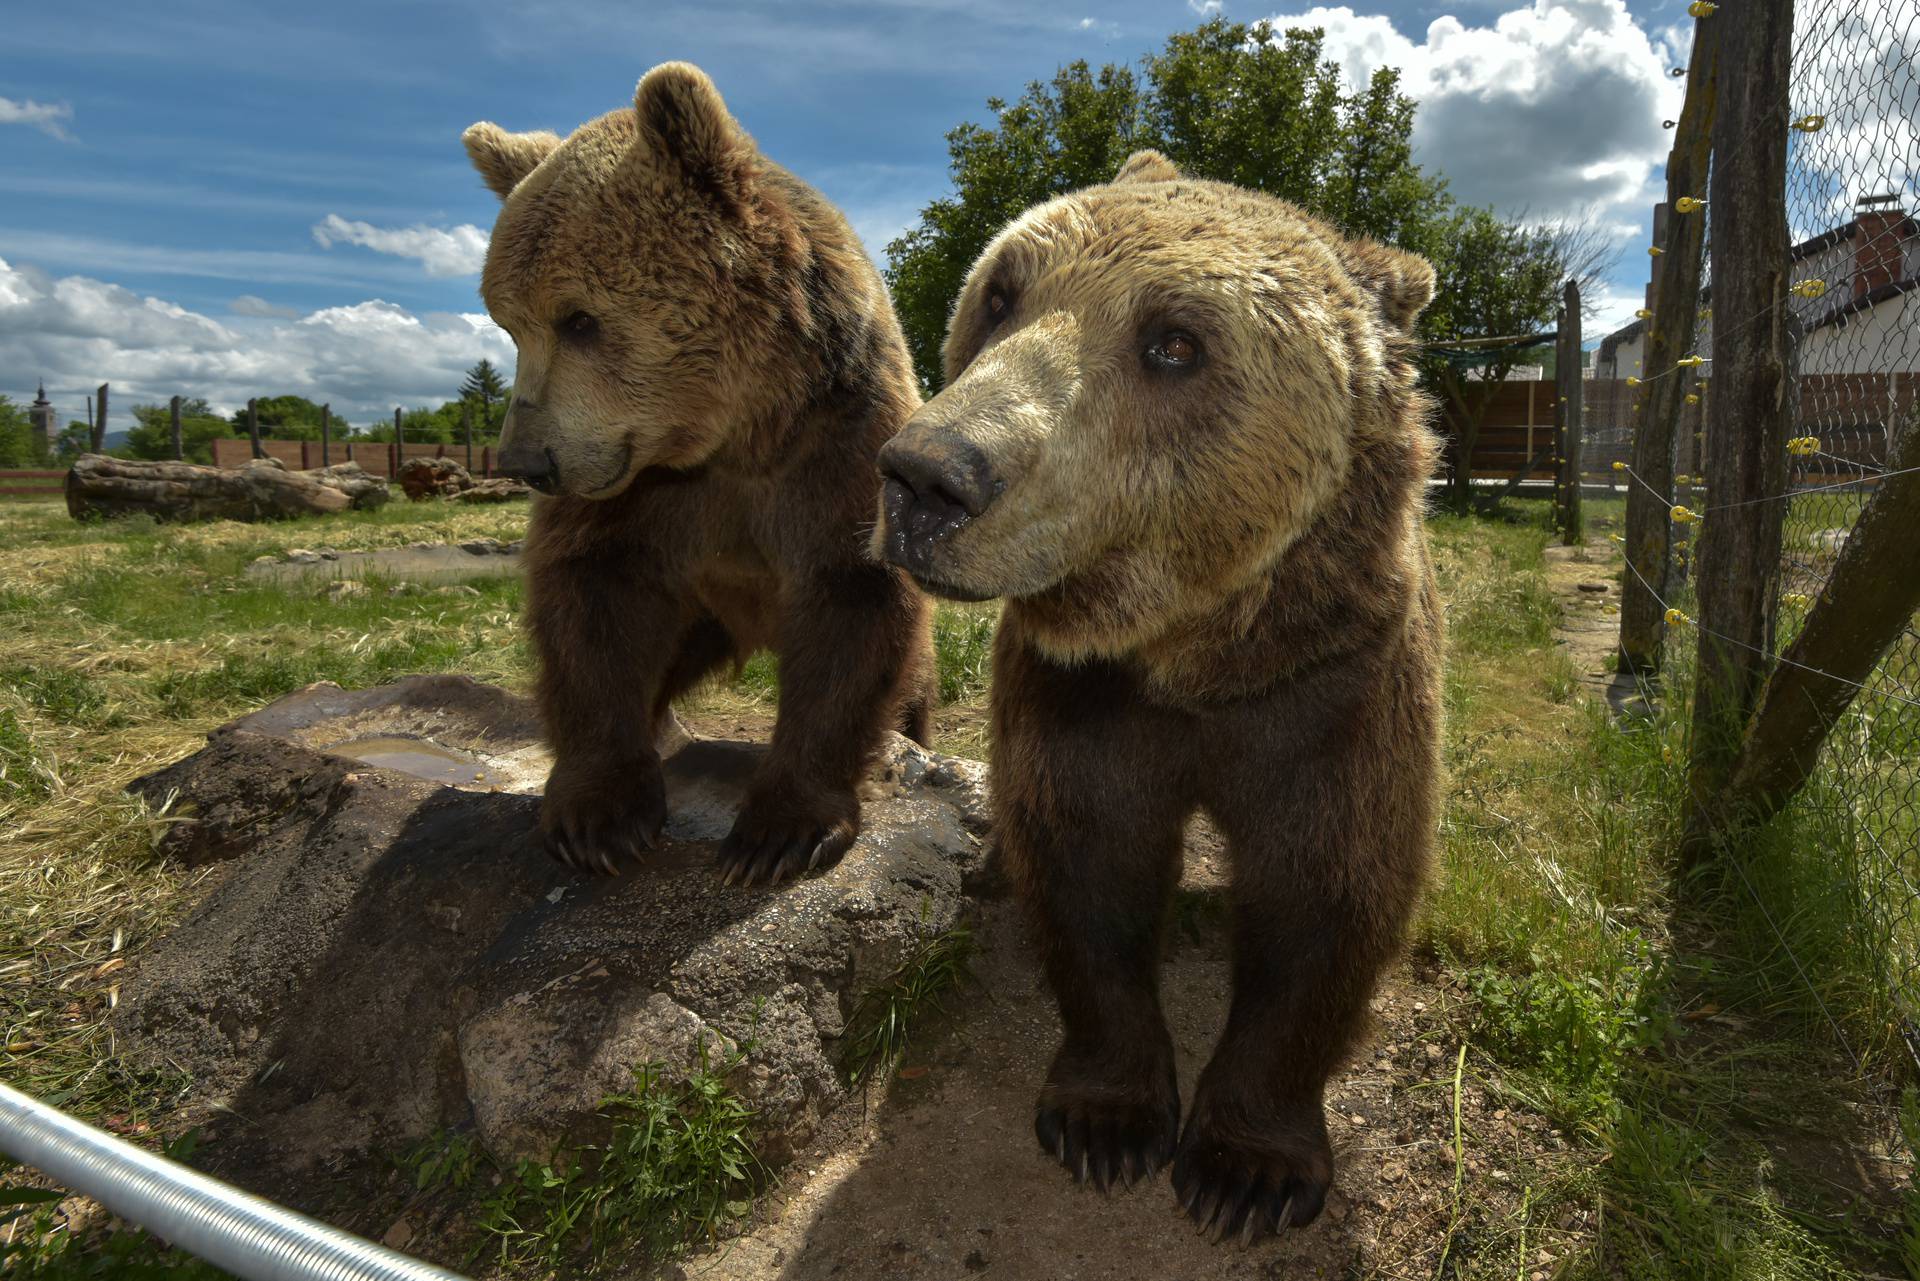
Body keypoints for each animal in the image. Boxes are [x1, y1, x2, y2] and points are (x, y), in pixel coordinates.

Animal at [472, 65, 936, 887]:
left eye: (579, 319)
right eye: (508, 322)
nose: (527, 461)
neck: (736, 433)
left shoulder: (837, 444)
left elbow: (854, 598)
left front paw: (779, 832)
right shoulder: (643, 495)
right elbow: (593, 599)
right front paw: (599, 816)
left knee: (915, 685)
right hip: (702, 613)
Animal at [871, 150, 1443, 1244]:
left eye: (1175, 342)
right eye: (1000, 292)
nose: (925, 477)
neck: (1201, 655)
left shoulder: (1334, 686)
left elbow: (1326, 887)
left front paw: (1246, 1171)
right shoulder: (1084, 692)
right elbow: (1091, 859)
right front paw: (1109, 1122)